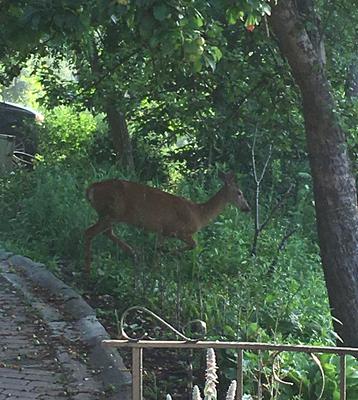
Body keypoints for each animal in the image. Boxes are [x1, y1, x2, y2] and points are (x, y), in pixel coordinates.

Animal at [85, 172, 250, 276]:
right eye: (239, 193)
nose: (247, 208)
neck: (199, 214)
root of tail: (91, 189)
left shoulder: (162, 231)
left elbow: (158, 251)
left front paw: (155, 270)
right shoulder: (178, 230)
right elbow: (193, 245)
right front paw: (169, 254)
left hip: (109, 214)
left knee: (106, 232)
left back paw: (133, 253)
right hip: (112, 213)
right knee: (89, 232)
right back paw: (88, 269)